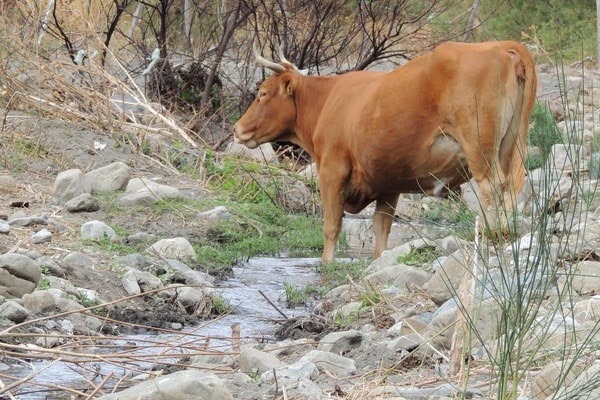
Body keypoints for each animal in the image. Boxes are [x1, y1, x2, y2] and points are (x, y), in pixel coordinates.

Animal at [232, 41, 536, 266]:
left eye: (263, 93)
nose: (237, 129)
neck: (329, 100)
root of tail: (500, 46)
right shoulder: (388, 183)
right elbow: (381, 230)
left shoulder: (331, 170)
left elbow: (331, 226)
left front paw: (326, 265)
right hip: (508, 147)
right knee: (511, 186)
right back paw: (505, 232)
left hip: (479, 149)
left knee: (492, 188)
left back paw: (490, 235)